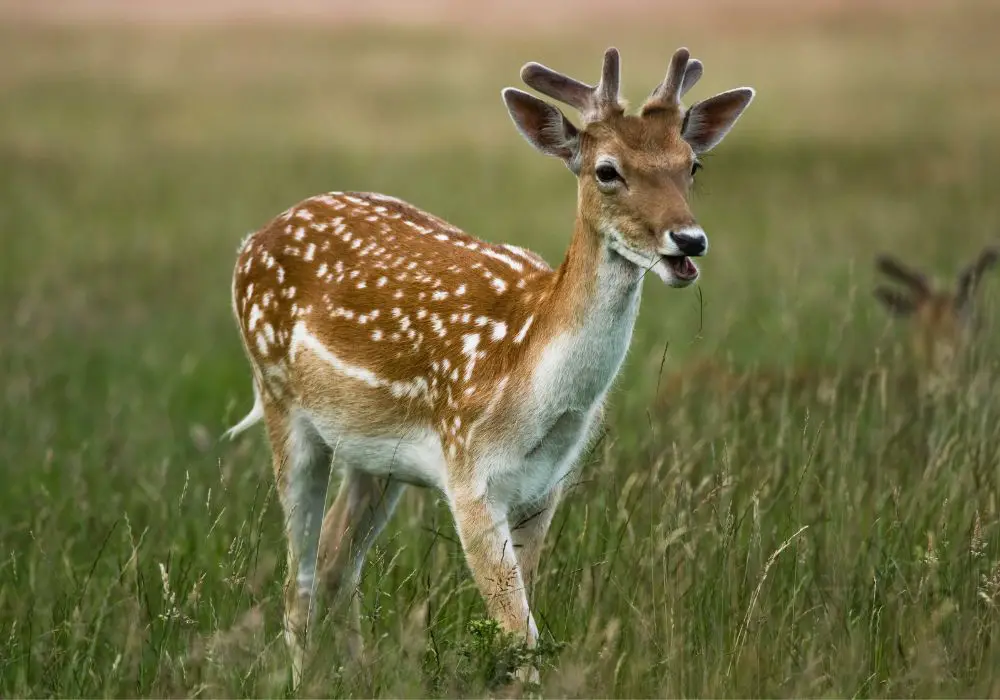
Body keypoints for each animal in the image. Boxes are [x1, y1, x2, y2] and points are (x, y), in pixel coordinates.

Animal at [227, 45, 752, 684]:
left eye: (692, 164)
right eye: (606, 170)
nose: (689, 240)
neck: (528, 378)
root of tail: (251, 241)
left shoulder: (543, 488)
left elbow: (520, 634)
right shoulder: (469, 475)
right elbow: (520, 640)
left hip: (374, 456)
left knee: (335, 560)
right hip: (278, 395)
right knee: (298, 580)